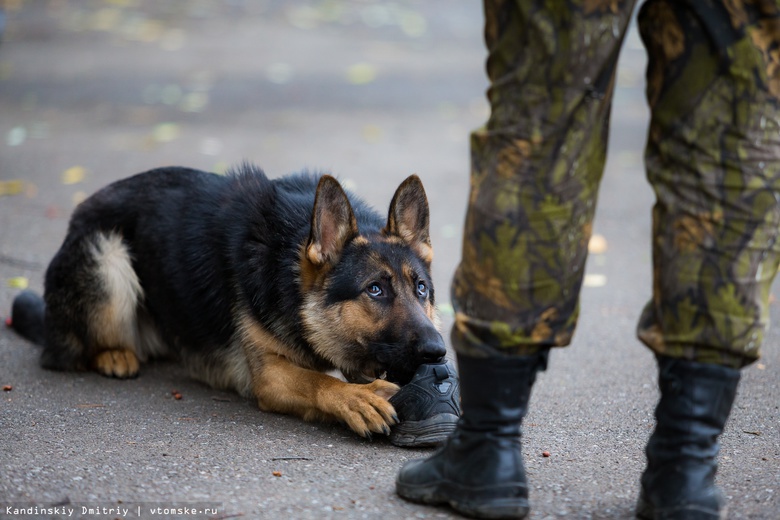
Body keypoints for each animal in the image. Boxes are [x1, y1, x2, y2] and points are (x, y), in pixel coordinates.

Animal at [10, 165, 444, 436]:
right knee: (67, 353)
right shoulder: (268, 375)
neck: (287, 269)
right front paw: (356, 398)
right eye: (375, 290)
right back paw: (114, 355)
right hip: (108, 259)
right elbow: (317, 380)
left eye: (421, 289)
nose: (438, 351)